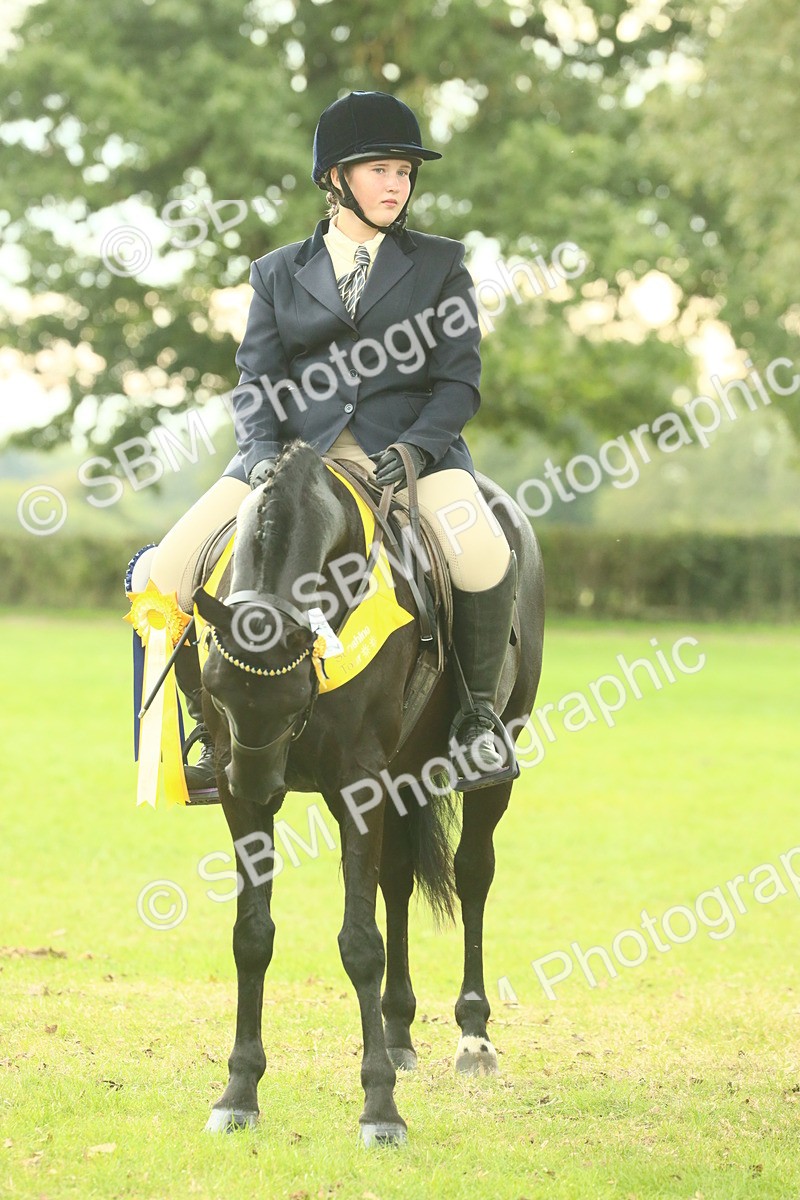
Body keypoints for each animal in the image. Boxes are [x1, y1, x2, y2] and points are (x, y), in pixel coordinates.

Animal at [193, 439, 545, 1145]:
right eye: (213, 684)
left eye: (295, 693)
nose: (257, 786)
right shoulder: (250, 796)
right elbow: (252, 935)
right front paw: (239, 1093)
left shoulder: (357, 783)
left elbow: (359, 943)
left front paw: (380, 1109)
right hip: (398, 776)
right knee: (397, 879)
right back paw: (400, 1029)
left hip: (488, 763)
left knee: (472, 873)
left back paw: (473, 1036)